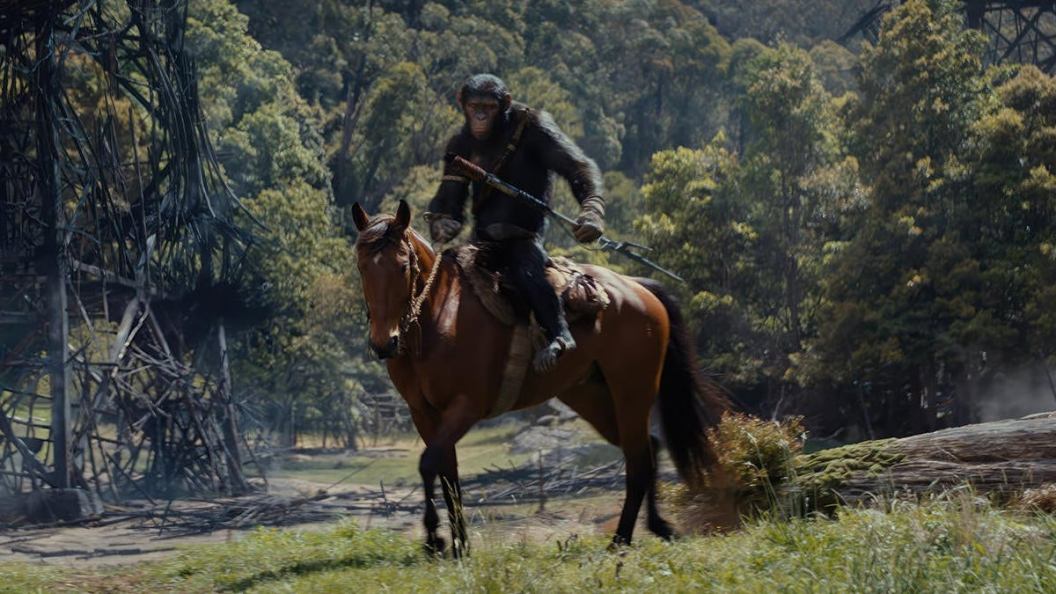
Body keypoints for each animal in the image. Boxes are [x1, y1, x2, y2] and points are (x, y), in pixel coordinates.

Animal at [351, 199, 728, 555]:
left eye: (402, 265)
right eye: (361, 267)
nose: (384, 343)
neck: (438, 318)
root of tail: (638, 289)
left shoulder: (466, 407)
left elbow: (429, 464)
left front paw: (434, 539)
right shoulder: (424, 414)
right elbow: (448, 474)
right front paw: (458, 545)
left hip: (632, 391)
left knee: (638, 460)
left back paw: (620, 540)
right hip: (591, 397)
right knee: (647, 448)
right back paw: (656, 526)